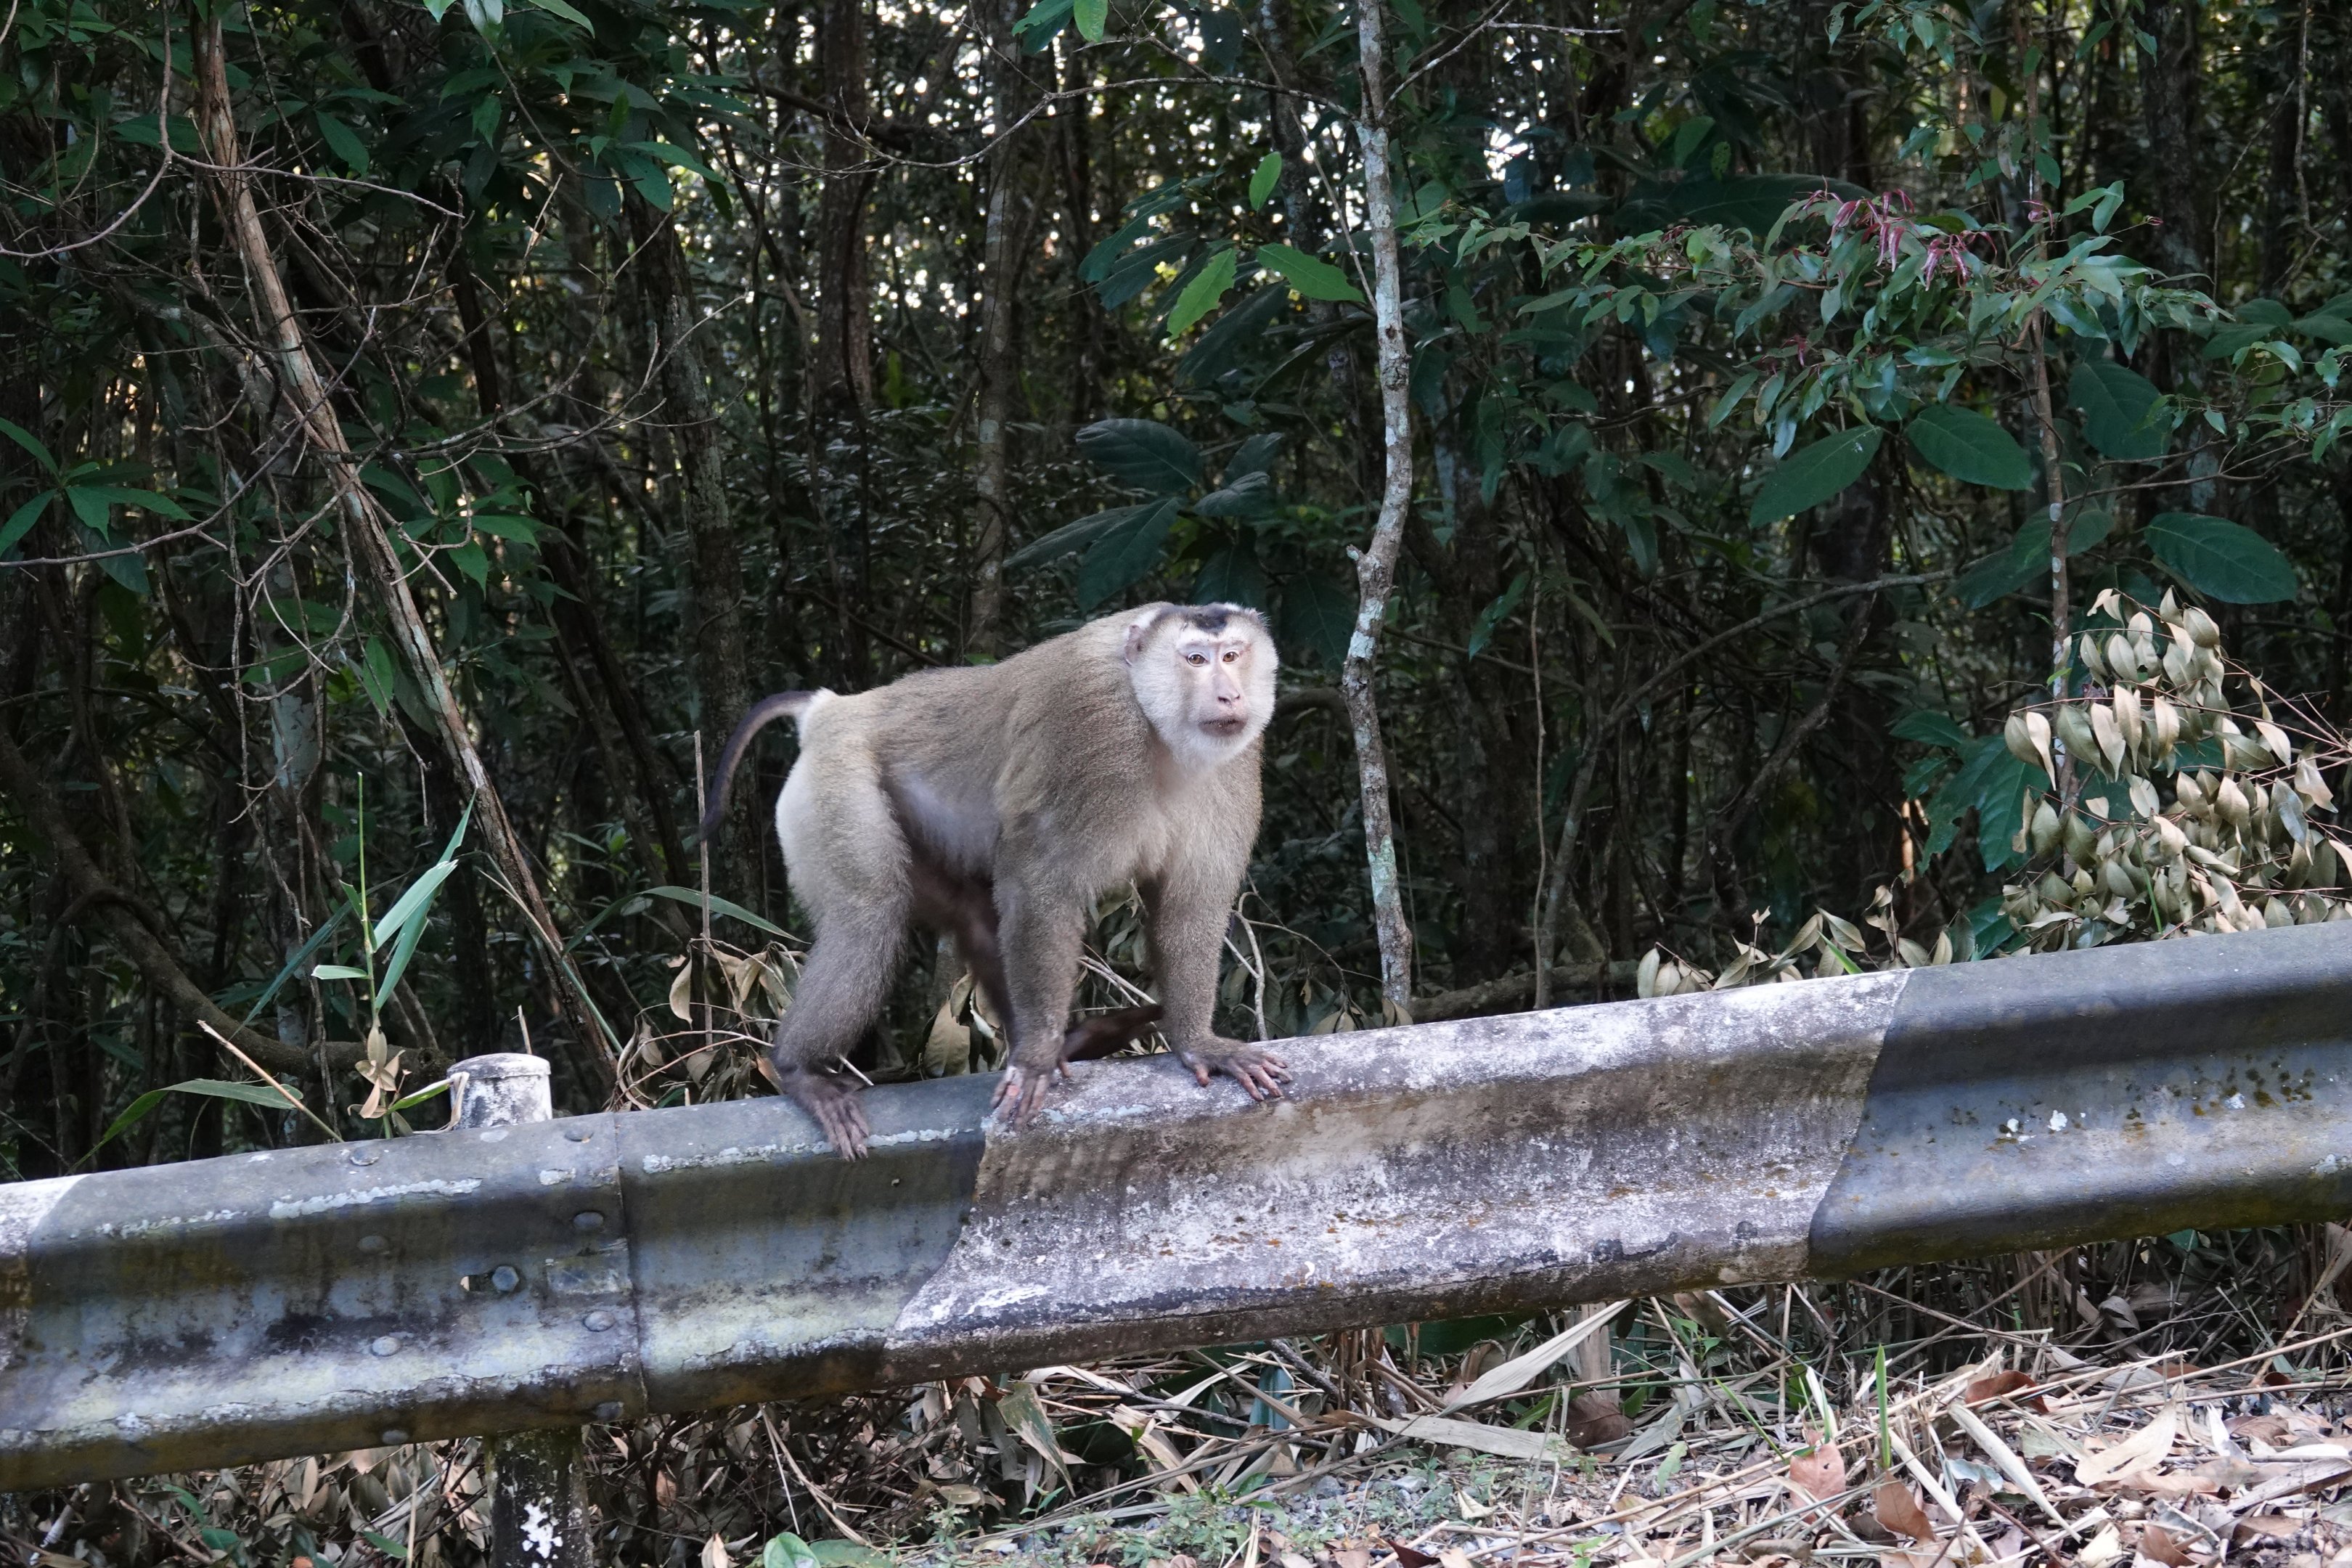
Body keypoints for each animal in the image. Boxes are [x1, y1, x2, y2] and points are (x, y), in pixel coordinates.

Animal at [701, 602, 1291, 1156]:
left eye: (1232, 655)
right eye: (1195, 660)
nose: (1229, 696)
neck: (1157, 725)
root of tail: (834, 708)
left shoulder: (1234, 768)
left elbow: (1189, 911)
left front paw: (1199, 1044)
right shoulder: (1090, 732)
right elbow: (1040, 888)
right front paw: (1035, 1060)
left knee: (972, 916)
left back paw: (1071, 1041)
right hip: (835, 782)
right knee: (870, 917)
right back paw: (801, 1070)